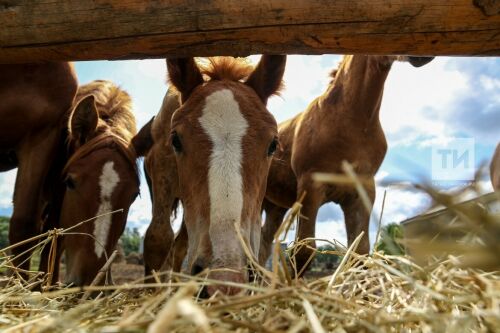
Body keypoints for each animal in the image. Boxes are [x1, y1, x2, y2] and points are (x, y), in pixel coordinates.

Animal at [258, 53, 434, 272]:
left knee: (263, 242)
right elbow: (304, 251)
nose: (425, 55)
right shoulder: (310, 187)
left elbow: (360, 252)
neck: (350, 120)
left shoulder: (361, 192)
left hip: (276, 207)